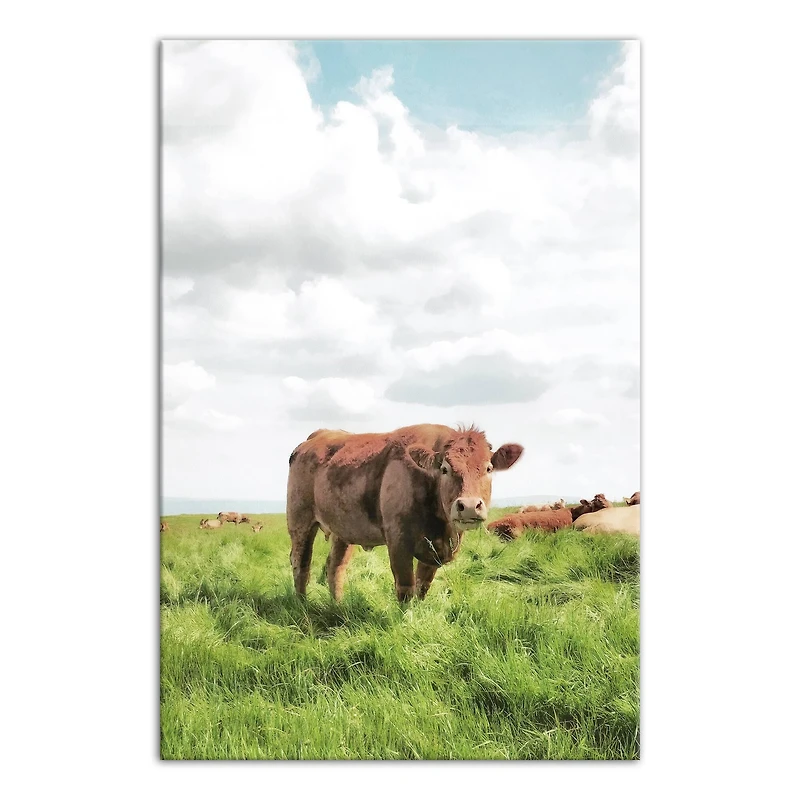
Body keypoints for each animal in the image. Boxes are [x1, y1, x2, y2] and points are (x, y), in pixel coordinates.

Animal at [286, 424, 524, 603]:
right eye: (445, 469)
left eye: (488, 468)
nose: (469, 505)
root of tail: (315, 438)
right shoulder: (399, 543)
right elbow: (406, 589)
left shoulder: (434, 553)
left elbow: (422, 587)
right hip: (300, 522)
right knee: (301, 565)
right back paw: (302, 606)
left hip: (343, 531)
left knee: (335, 567)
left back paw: (338, 605)